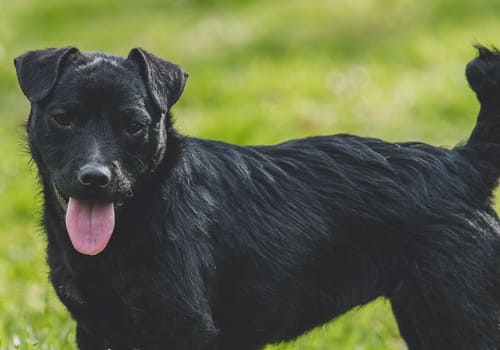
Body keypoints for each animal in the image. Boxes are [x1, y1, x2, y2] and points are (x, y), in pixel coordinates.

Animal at [12, 45, 500, 348]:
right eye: (63, 119)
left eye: (133, 125)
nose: (95, 178)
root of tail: (461, 165)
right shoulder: (95, 330)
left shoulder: (184, 330)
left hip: (462, 319)